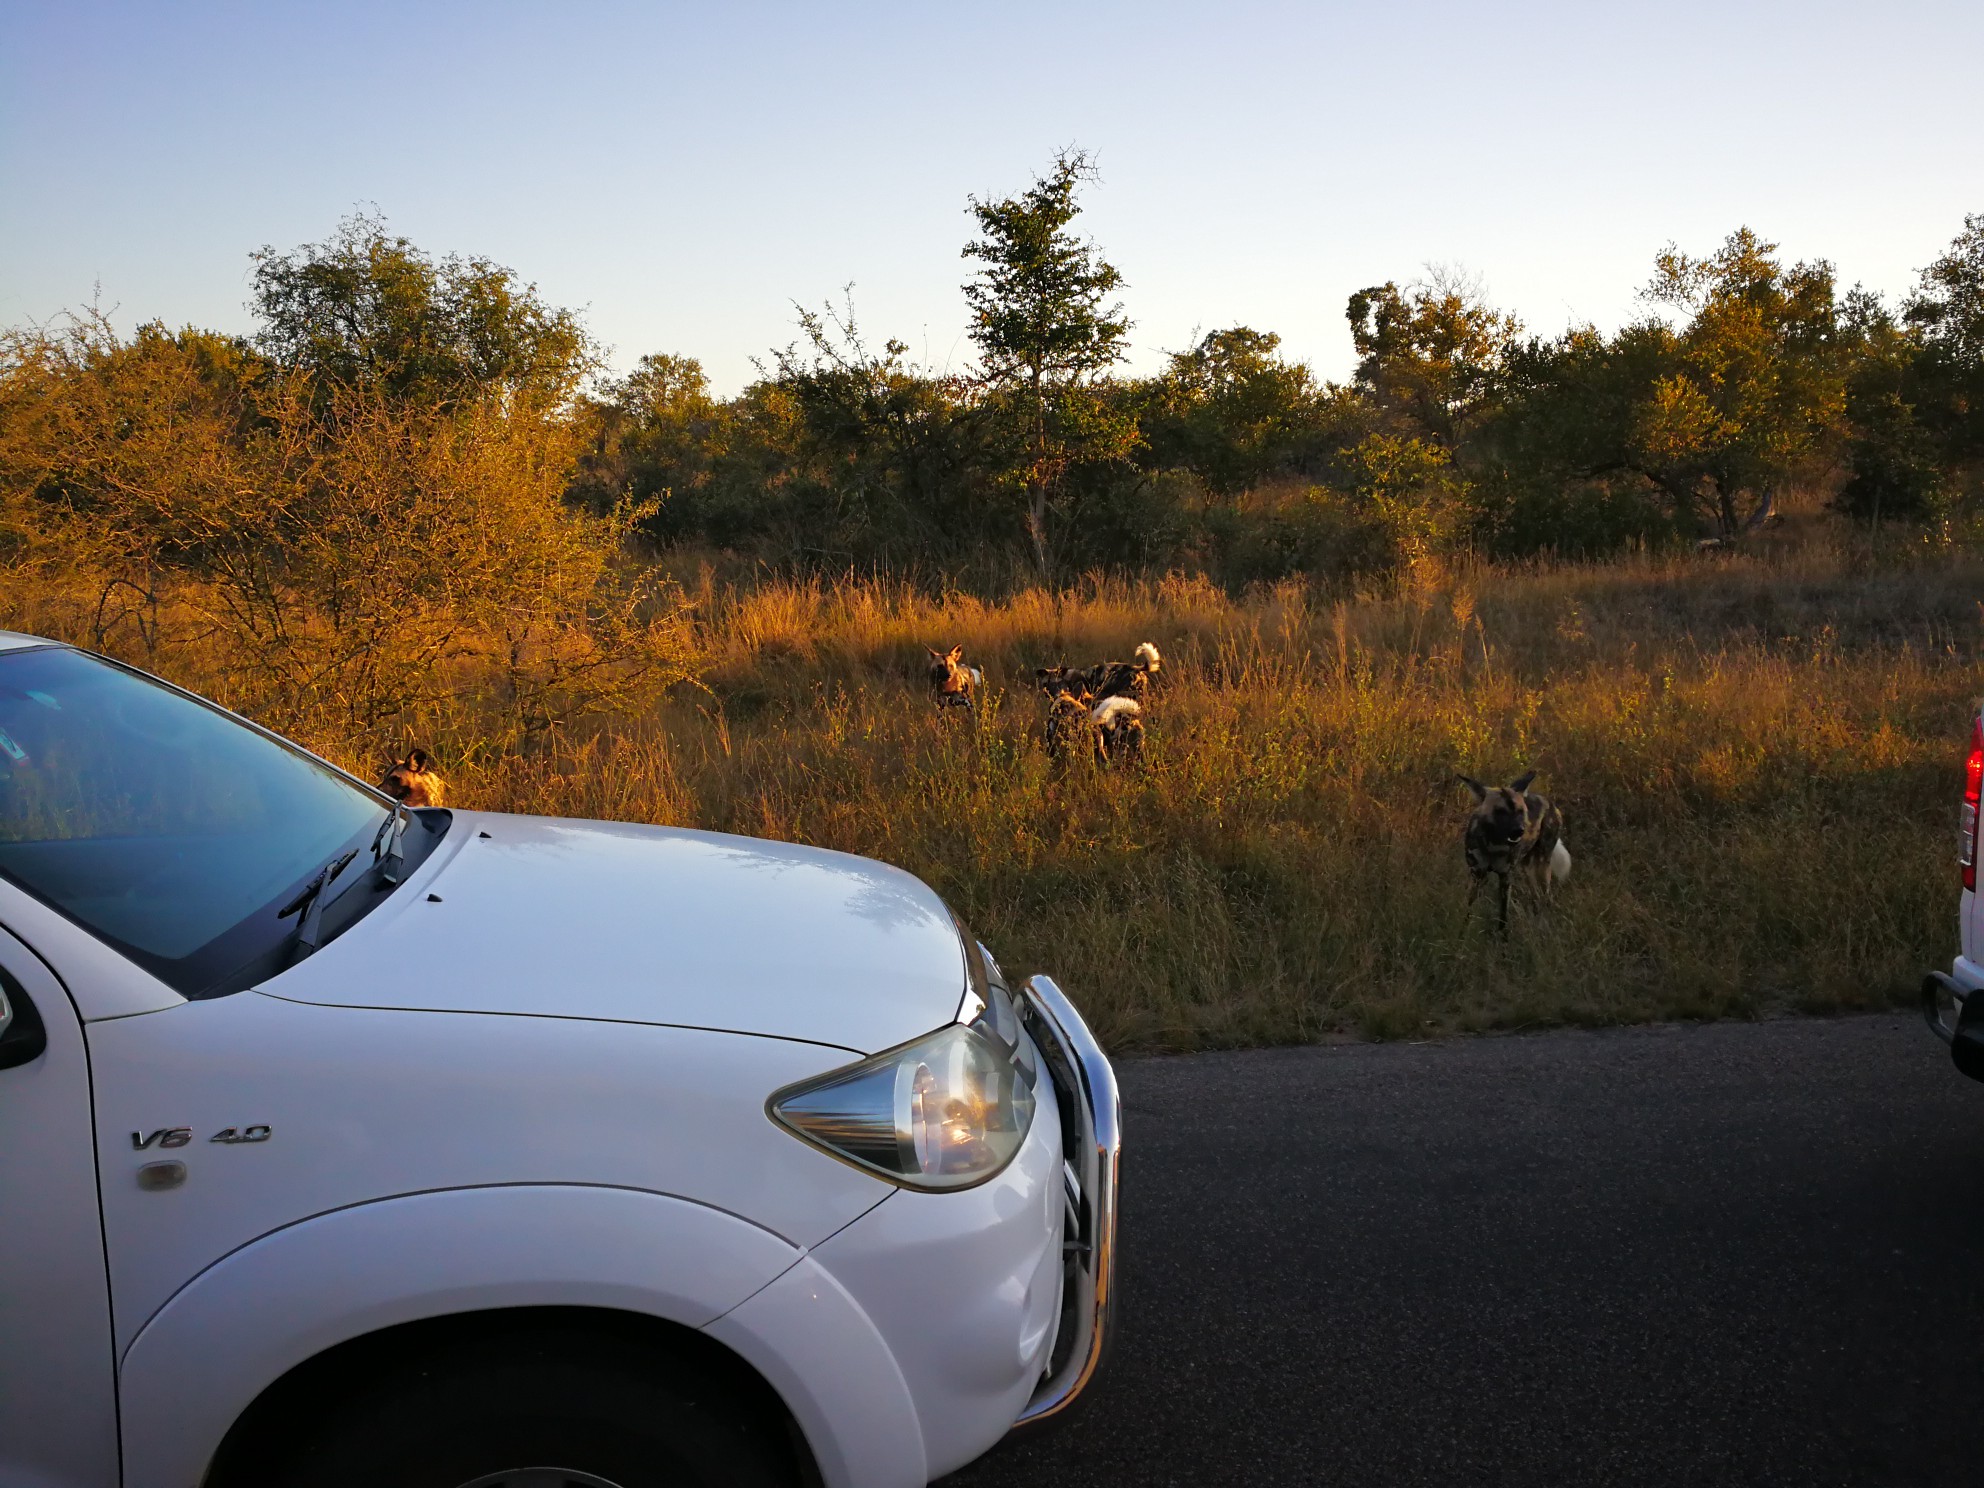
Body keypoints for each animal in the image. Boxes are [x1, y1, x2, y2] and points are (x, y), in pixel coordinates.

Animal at [1460, 773, 1563, 936]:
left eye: (1521, 811)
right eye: (1500, 811)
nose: (1520, 830)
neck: (1493, 845)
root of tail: (1550, 802)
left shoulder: (1505, 878)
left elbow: (1503, 917)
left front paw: (1502, 939)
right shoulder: (1478, 876)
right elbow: (1467, 913)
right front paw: (1461, 937)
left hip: (1542, 868)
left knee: (1546, 899)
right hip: (1526, 870)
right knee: (1536, 898)